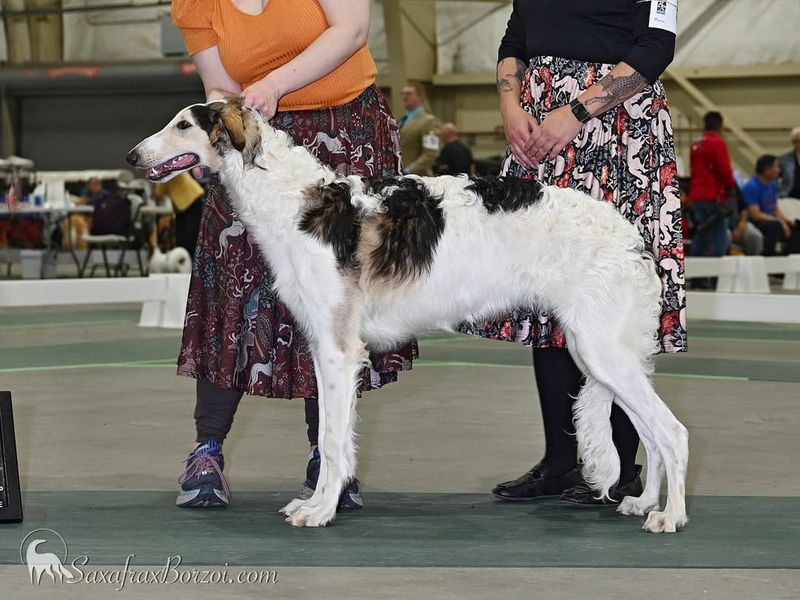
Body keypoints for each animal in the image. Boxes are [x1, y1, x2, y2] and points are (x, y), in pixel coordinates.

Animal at [128, 99, 692, 536]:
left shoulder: (339, 351)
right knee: (649, 433)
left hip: (602, 350)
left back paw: (670, 517)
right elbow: (334, 436)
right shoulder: (324, 350)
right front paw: (317, 502)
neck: (299, 203)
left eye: (184, 124)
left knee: (673, 433)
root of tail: (632, 236)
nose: (133, 156)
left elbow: (331, 441)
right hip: (597, 352)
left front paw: (321, 511)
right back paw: (643, 503)